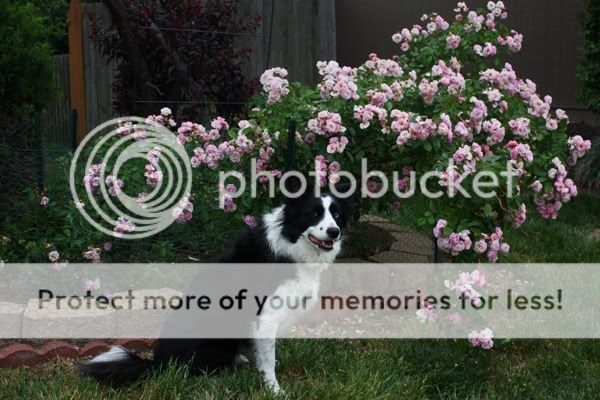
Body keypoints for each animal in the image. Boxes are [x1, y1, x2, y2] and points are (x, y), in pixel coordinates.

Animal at [79, 180, 352, 393]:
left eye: (337, 215)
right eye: (313, 214)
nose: (334, 232)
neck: (291, 242)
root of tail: (158, 364)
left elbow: (260, 352)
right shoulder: (267, 315)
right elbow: (268, 357)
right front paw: (274, 389)